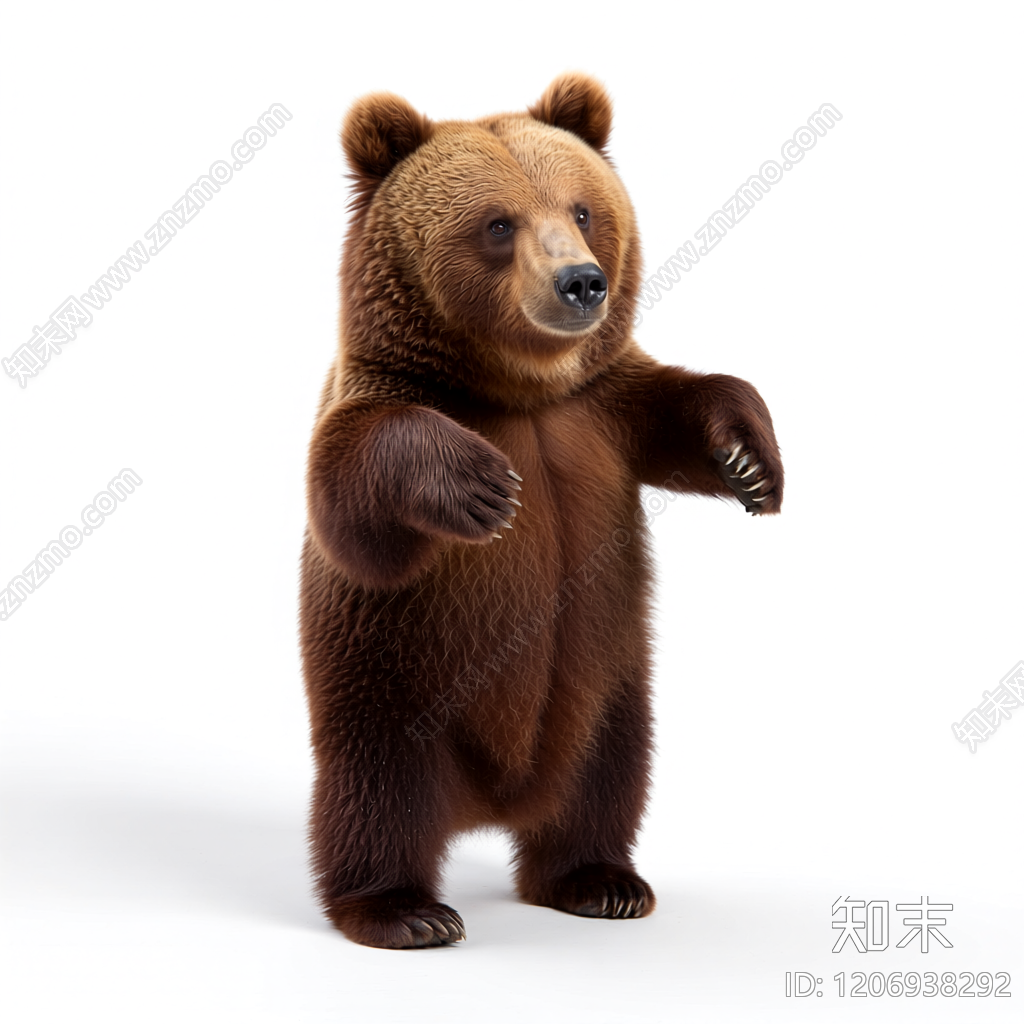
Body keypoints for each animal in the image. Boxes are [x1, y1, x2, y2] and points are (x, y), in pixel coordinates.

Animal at [300, 72, 783, 949]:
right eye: (498, 223)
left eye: (583, 210)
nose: (581, 281)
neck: (522, 390)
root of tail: (493, 803)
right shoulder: (384, 400)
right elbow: (353, 503)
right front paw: (483, 487)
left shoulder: (600, 414)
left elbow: (685, 403)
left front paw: (750, 463)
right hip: (391, 681)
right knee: (375, 793)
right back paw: (403, 909)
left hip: (607, 688)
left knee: (607, 779)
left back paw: (600, 880)